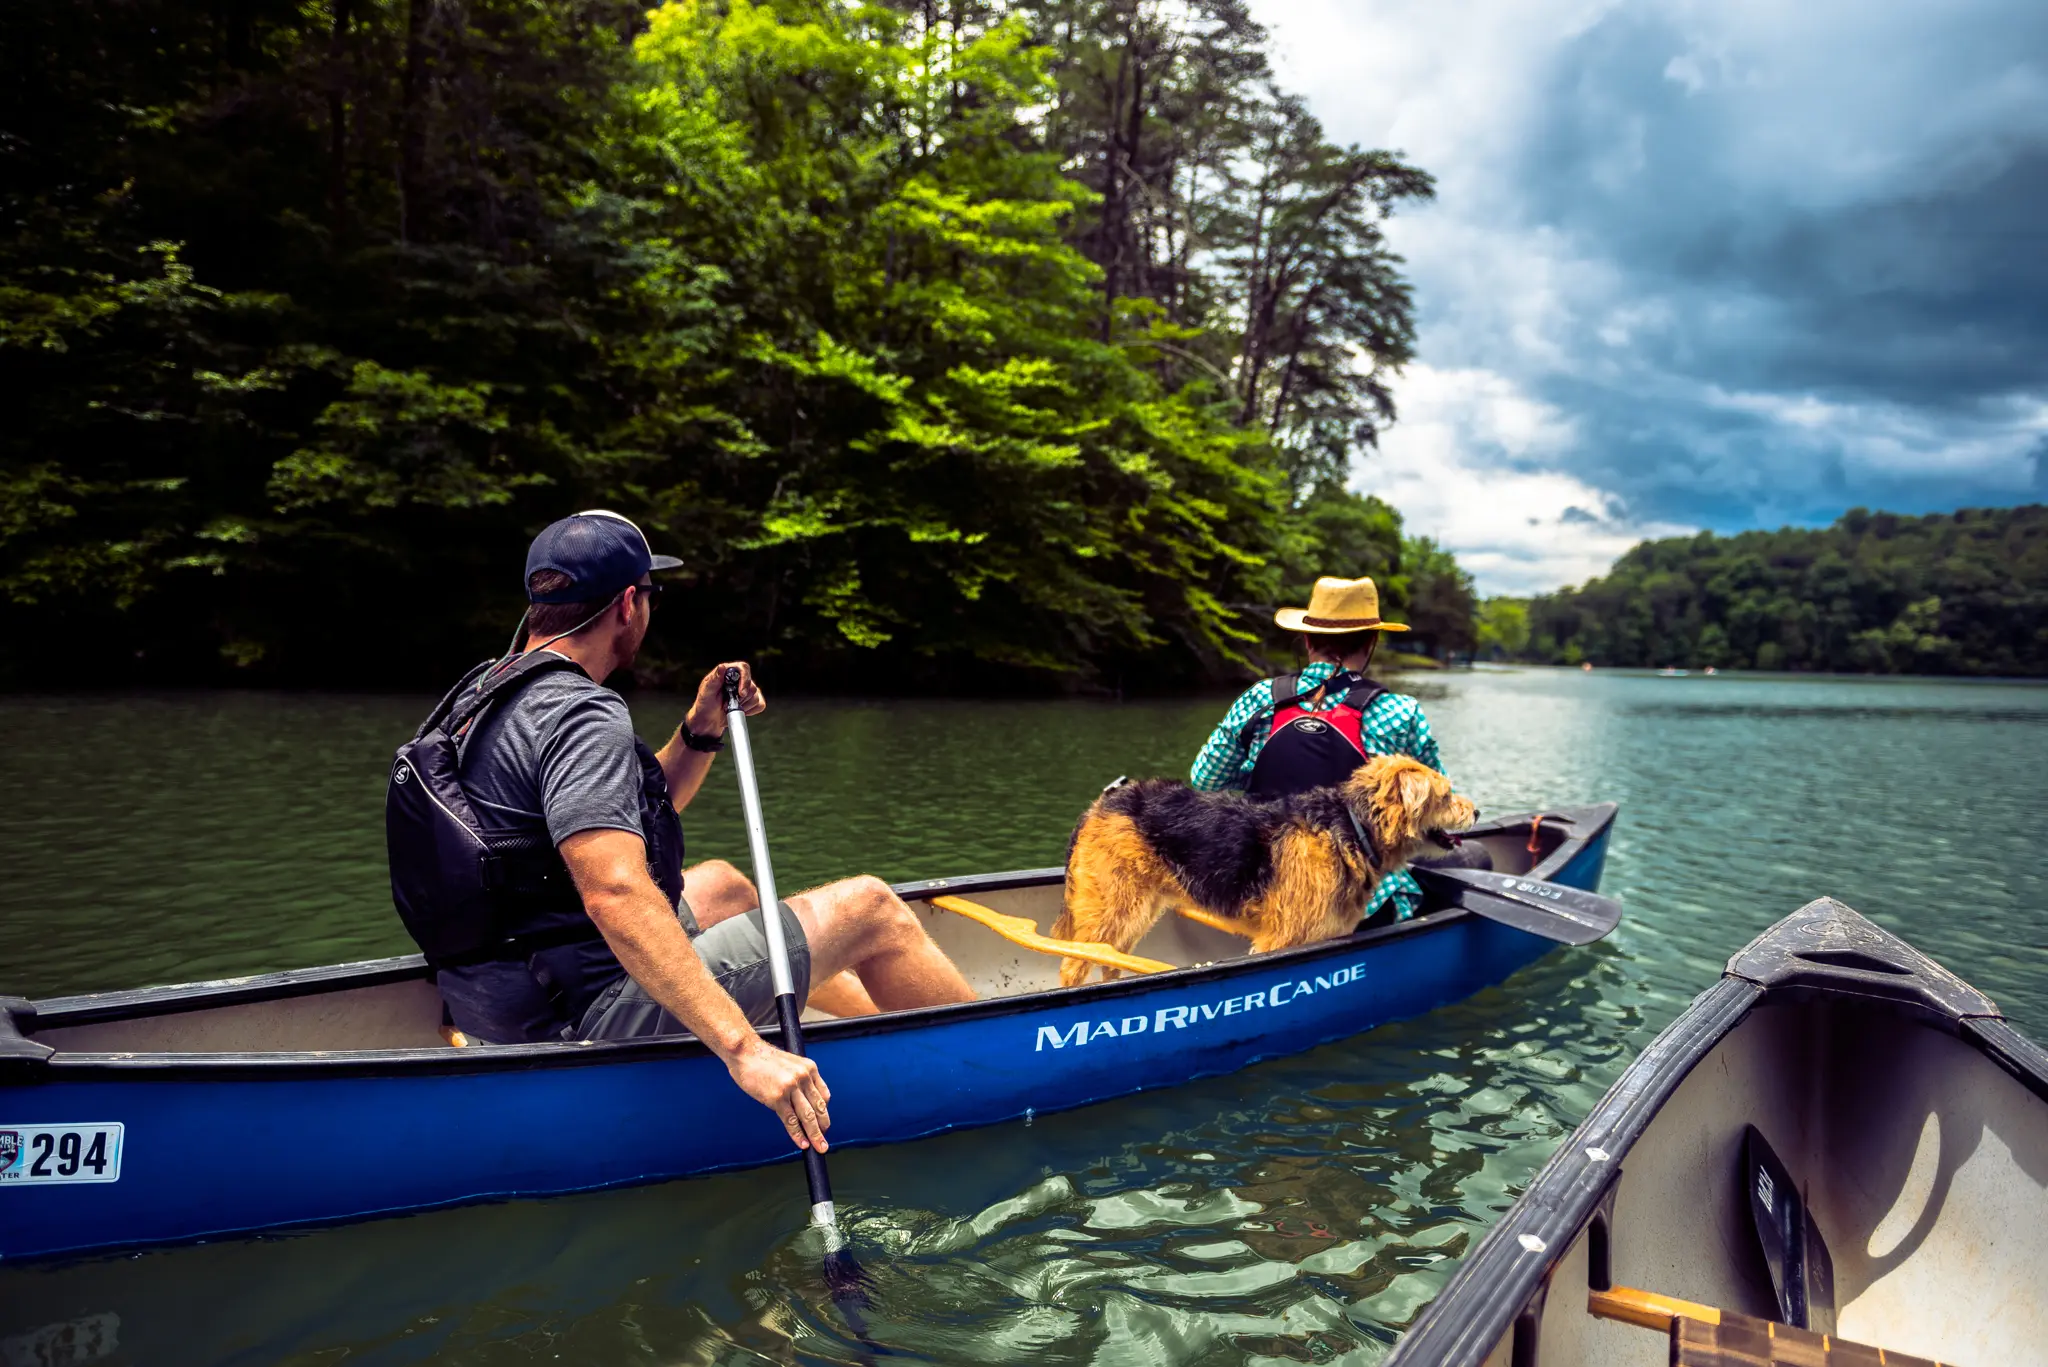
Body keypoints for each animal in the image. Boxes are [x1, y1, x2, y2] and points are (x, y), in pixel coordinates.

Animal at [1056, 754, 1474, 987]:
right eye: (1446, 795)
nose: (1477, 811)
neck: (1352, 827)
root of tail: (1101, 803)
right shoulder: (1282, 939)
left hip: (1136, 910)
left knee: (1110, 961)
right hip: (1112, 907)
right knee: (1074, 964)